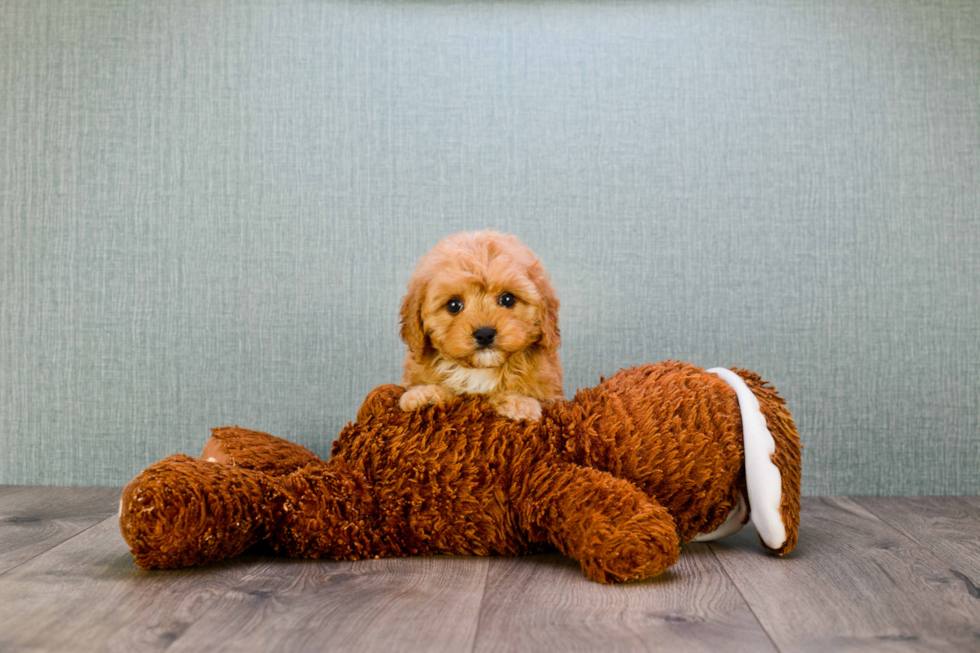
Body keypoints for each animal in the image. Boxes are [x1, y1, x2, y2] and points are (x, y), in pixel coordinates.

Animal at [398, 232, 564, 420]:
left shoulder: (552, 397)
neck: (480, 370)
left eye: (508, 299)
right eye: (453, 305)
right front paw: (424, 394)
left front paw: (517, 403)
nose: (484, 334)